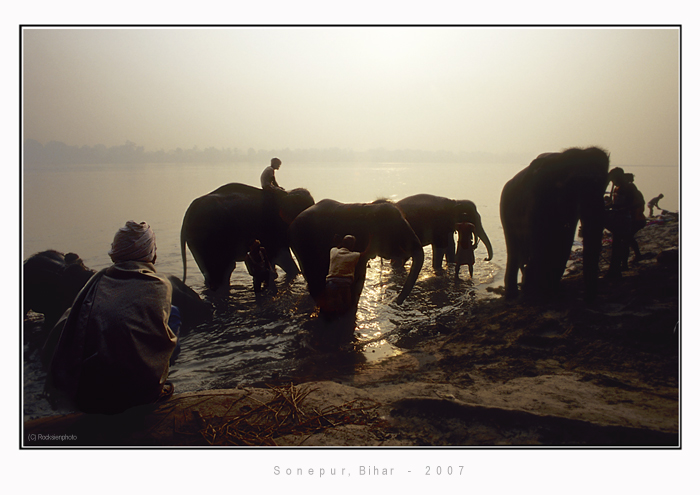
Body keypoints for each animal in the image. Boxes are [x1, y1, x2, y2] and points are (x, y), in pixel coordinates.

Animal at [500, 147, 608, 300]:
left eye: (604, 185)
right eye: (573, 185)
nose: (589, 297)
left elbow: (565, 238)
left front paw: (547, 290)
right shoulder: (536, 197)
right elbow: (538, 239)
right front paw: (534, 291)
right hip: (505, 209)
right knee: (514, 250)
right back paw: (515, 292)